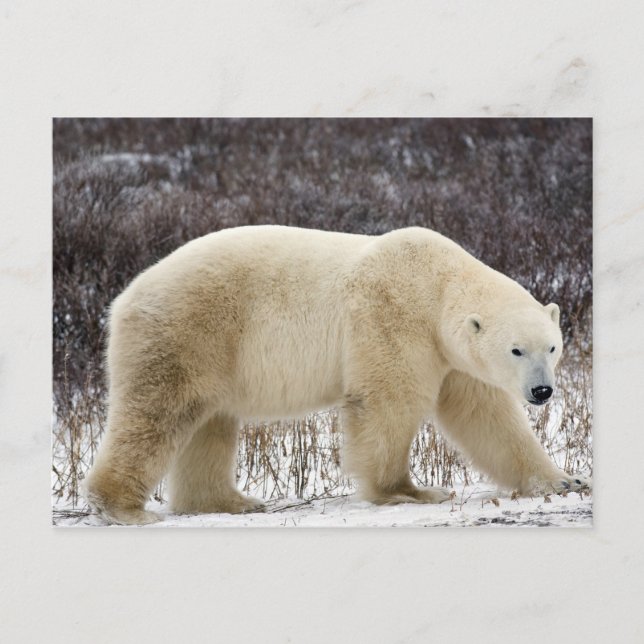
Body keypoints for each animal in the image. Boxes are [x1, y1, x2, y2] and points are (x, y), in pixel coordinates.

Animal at [84, 225, 591, 524]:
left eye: (551, 346)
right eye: (515, 349)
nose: (542, 391)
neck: (434, 282)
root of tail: (124, 297)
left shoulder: (454, 356)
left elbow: (488, 417)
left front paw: (565, 481)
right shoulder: (391, 316)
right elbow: (389, 402)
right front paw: (411, 492)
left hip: (215, 352)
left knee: (210, 424)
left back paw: (229, 501)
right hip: (188, 331)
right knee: (158, 413)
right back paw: (125, 508)